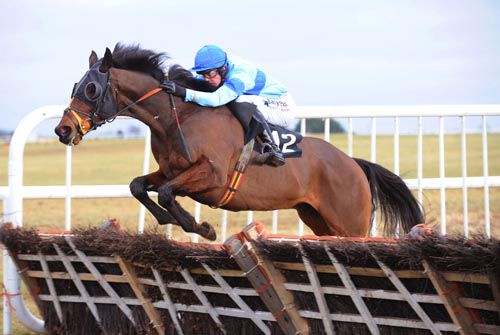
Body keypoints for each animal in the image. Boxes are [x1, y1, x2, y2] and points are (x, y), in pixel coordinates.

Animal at [53, 44, 422, 242]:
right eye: (75, 85)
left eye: (91, 89)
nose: (63, 130)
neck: (179, 118)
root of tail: (354, 164)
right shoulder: (171, 170)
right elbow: (139, 186)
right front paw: (174, 221)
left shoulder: (212, 177)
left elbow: (168, 193)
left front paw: (200, 227)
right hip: (316, 218)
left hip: (350, 222)